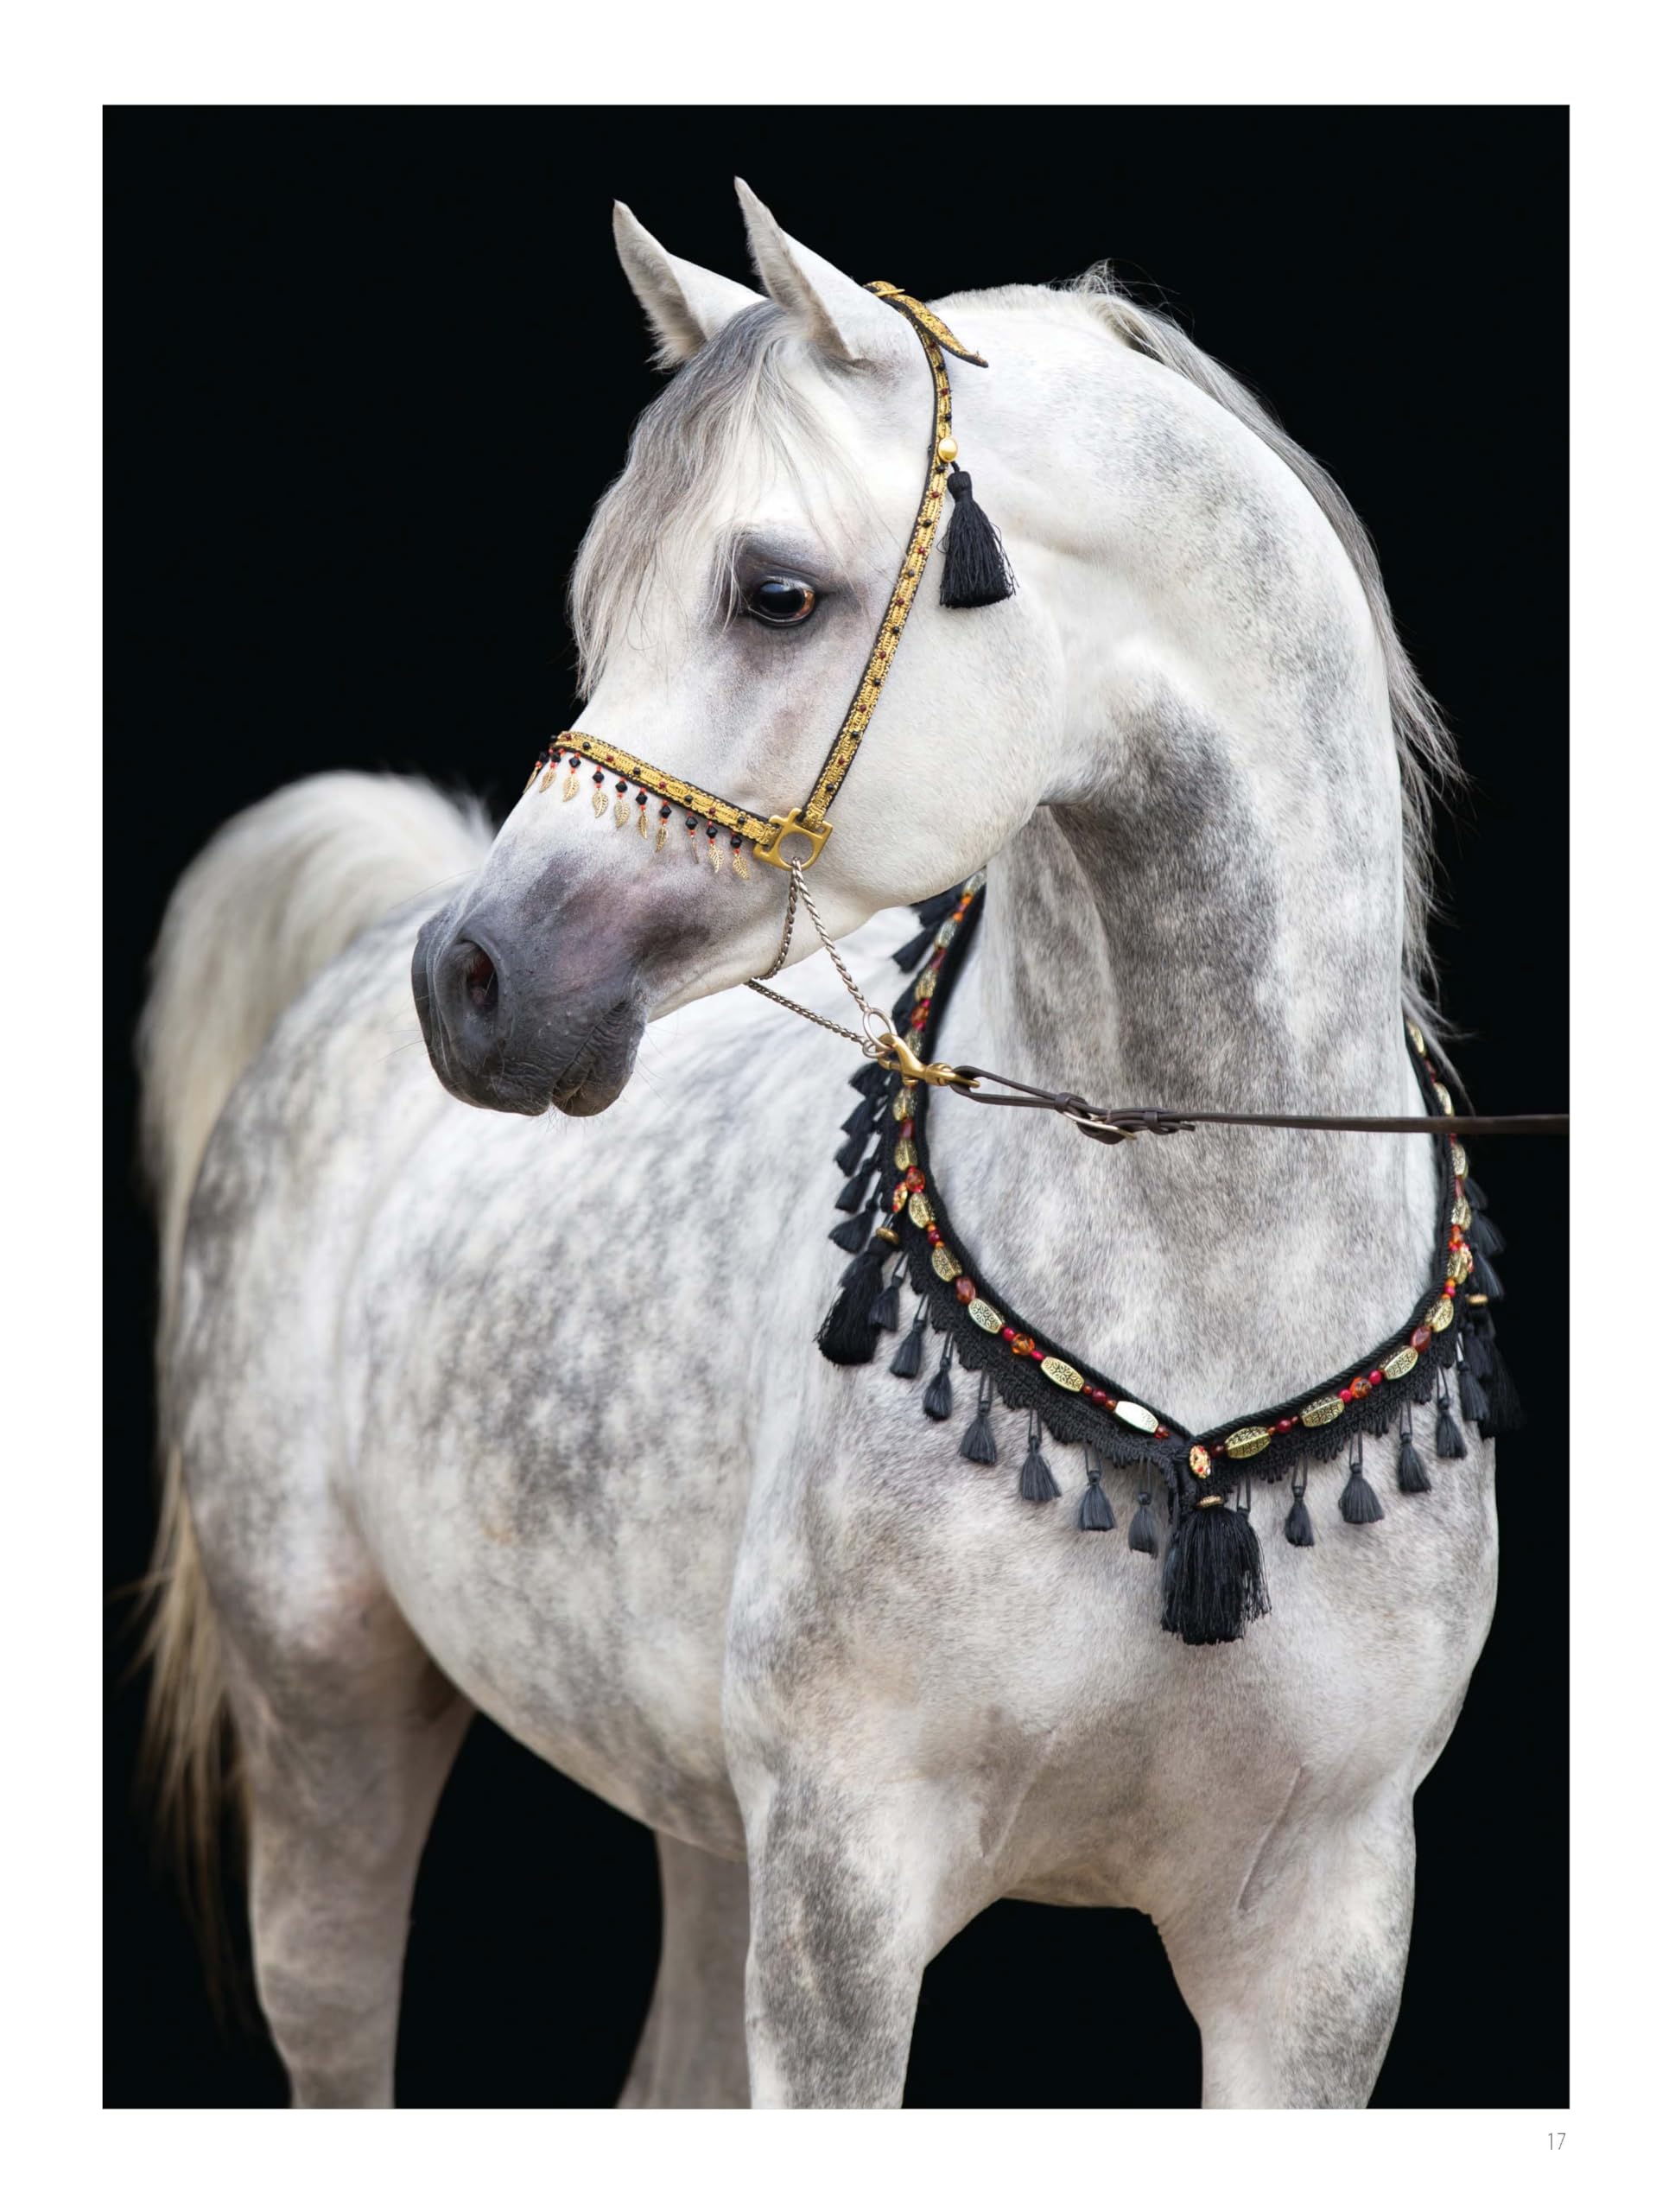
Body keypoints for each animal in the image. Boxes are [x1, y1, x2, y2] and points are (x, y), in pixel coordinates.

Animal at [139, 181, 1497, 2108]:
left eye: (773, 593)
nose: (475, 985)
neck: (1201, 1311)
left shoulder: (1321, 1942)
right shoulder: (844, 1896)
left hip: (700, 1818)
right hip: (328, 1719)